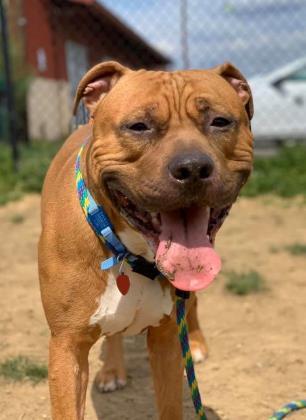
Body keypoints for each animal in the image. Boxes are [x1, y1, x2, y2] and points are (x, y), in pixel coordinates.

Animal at [38, 60, 253, 418]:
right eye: (139, 126)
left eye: (220, 122)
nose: (192, 168)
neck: (129, 252)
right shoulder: (66, 347)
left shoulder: (166, 341)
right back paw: (112, 370)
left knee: (193, 307)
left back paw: (196, 344)